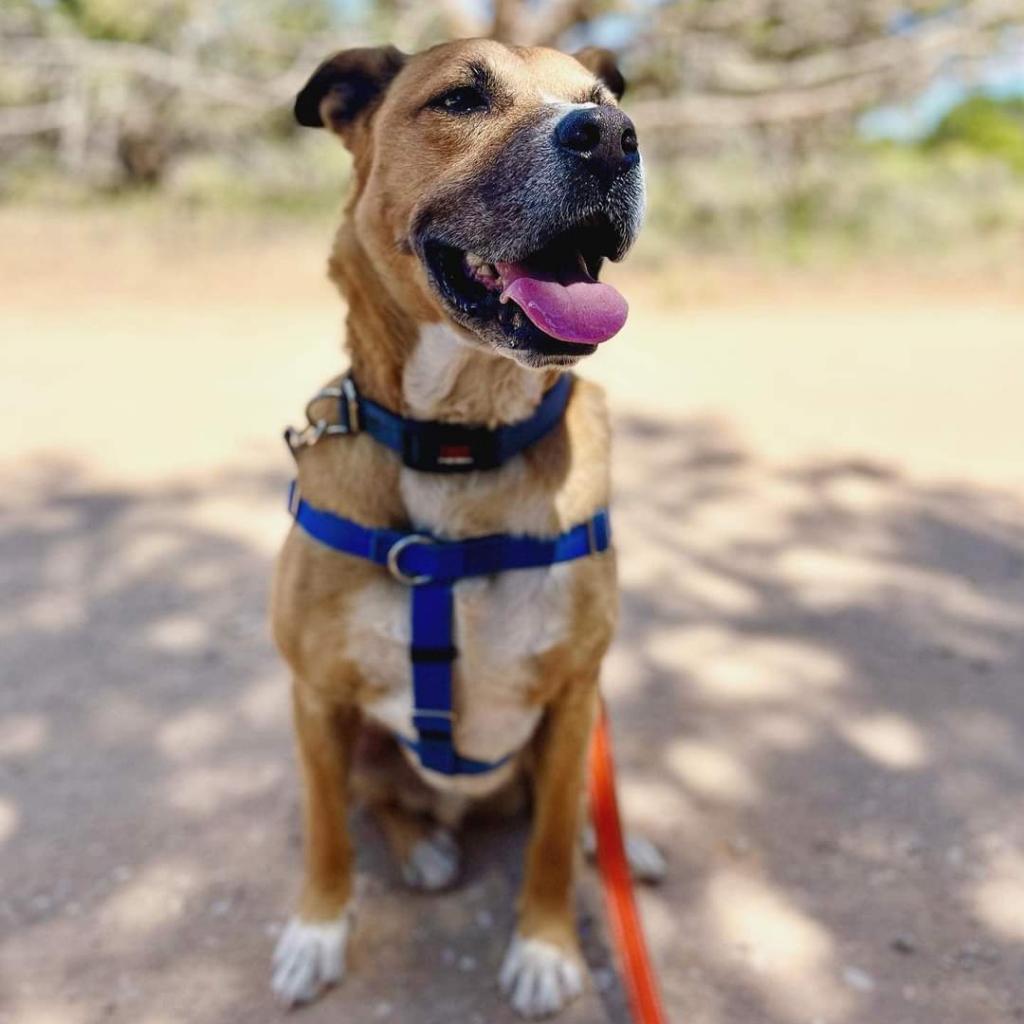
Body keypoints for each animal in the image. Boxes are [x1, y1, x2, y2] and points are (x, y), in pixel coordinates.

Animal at [272, 37, 651, 1015]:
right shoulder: (316, 697)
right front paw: (316, 930)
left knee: (569, 810)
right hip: (369, 743)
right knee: (386, 804)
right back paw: (426, 848)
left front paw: (547, 948)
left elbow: (550, 843)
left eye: (601, 101)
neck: (461, 445)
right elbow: (324, 831)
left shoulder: (573, 699)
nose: (611, 139)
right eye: (459, 99)